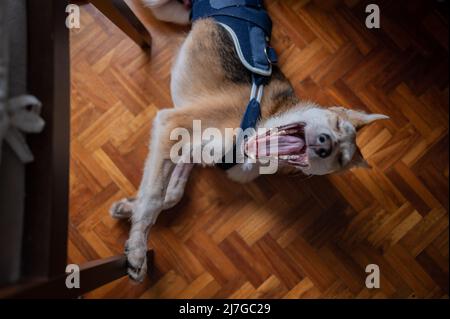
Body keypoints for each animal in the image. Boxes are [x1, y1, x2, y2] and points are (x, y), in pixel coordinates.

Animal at [110, 0, 390, 282]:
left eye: (341, 159)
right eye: (336, 124)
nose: (325, 145)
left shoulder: (189, 150)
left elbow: (171, 194)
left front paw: (129, 210)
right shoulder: (172, 124)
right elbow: (153, 197)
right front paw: (138, 251)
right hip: (159, 7)